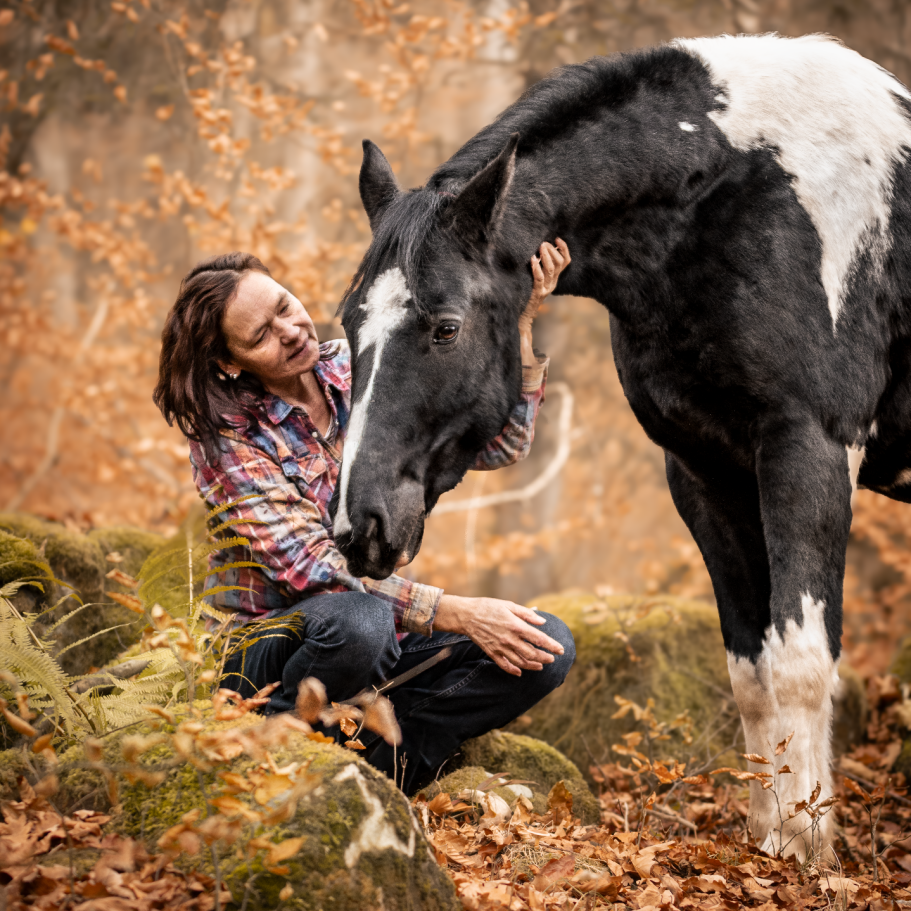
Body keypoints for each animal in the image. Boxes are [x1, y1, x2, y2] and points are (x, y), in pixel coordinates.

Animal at [328, 33, 911, 859]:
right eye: (348, 324)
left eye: (445, 327)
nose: (360, 527)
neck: (745, 196)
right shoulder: (702, 468)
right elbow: (750, 668)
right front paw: (766, 831)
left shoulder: (811, 451)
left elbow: (799, 661)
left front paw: (803, 846)